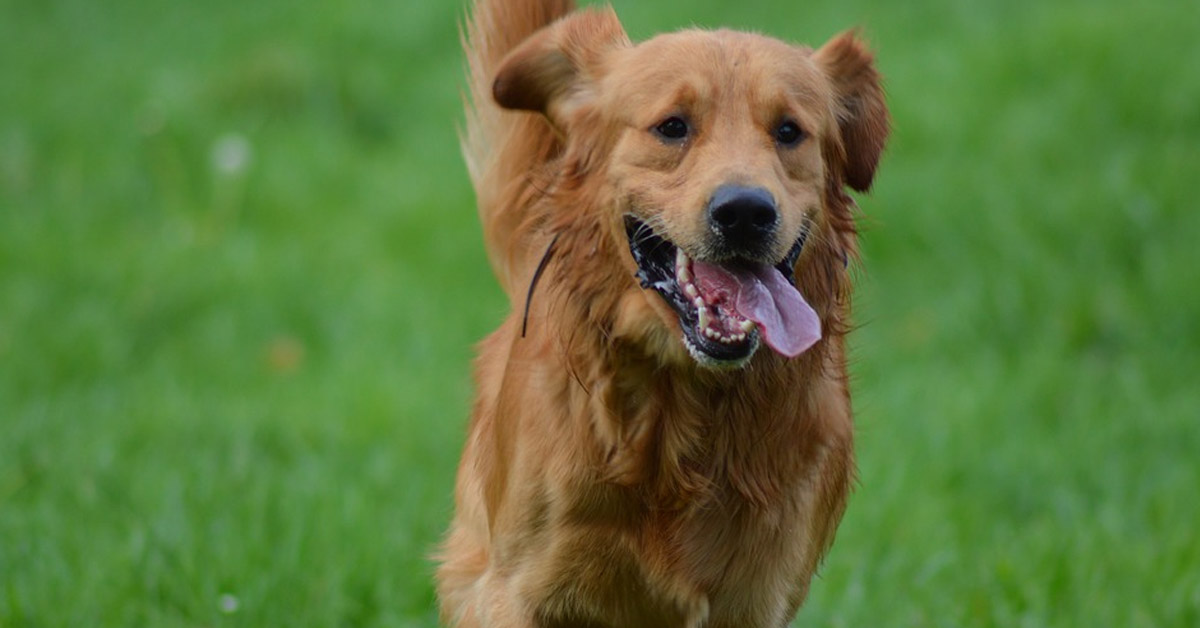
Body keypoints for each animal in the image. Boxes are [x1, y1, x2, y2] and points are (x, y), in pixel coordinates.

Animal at [436, 2, 888, 624]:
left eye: (789, 131)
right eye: (673, 126)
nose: (745, 212)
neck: (682, 403)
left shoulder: (758, 596)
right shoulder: (513, 590)